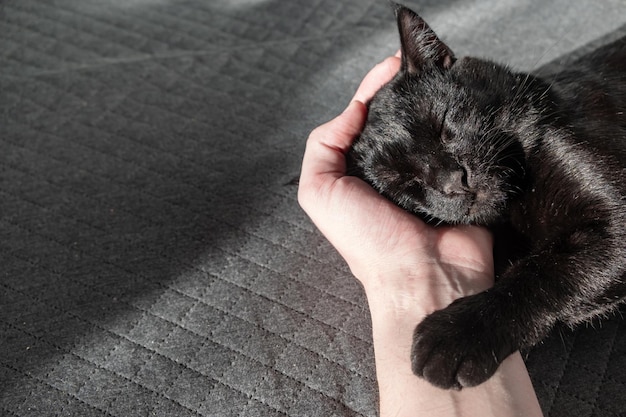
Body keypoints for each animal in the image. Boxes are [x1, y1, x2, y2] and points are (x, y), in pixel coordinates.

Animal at [348, 3, 620, 388]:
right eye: (404, 183)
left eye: (444, 124)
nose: (454, 181)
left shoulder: (612, 220)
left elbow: (543, 273)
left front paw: (454, 337)